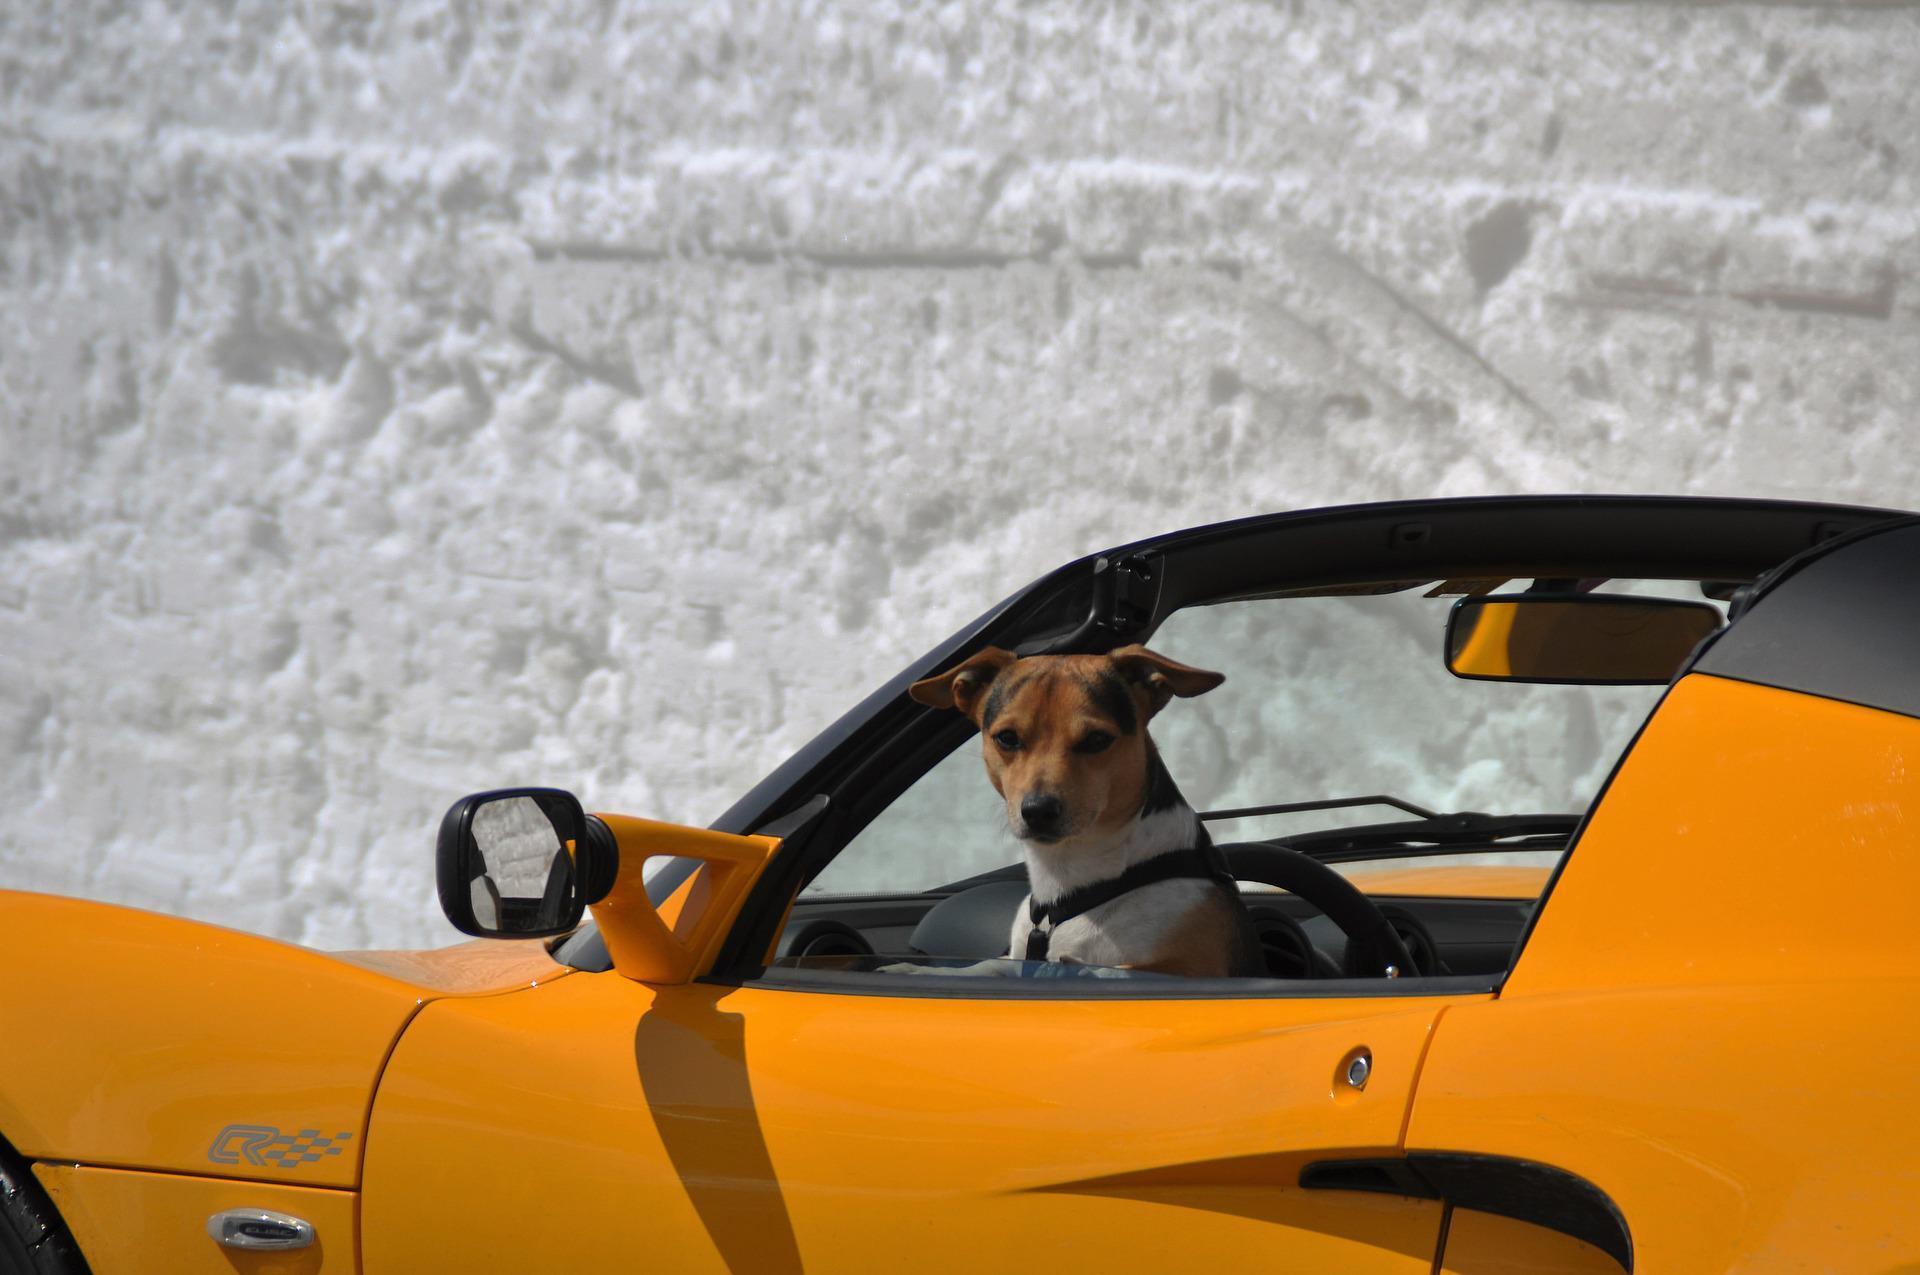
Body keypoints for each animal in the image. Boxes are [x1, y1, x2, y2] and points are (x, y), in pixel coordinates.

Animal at [910, 641, 1267, 979]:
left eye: (1097, 740)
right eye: (1007, 738)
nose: (1038, 811)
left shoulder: (1196, 967)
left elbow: (1121, 971)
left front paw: (1077, 968)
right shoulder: (1018, 959)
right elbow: (986, 966)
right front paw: (920, 970)